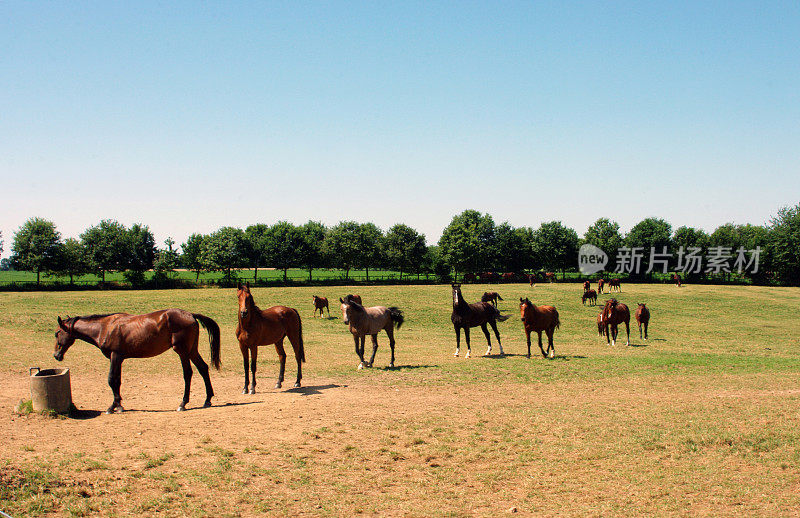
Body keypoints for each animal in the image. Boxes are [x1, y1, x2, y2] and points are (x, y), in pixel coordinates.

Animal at [53, 310, 220, 416]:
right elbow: (117, 381)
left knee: (188, 374)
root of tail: (190, 315)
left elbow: (111, 379)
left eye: (56, 333)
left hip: (182, 351)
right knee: (203, 368)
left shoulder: (115, 356)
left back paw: (183, 403)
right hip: (192, 351)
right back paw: (207, 400)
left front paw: (112, 407)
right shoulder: (119, 358)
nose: (56, 355)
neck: (104, 328)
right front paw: (119, 405)